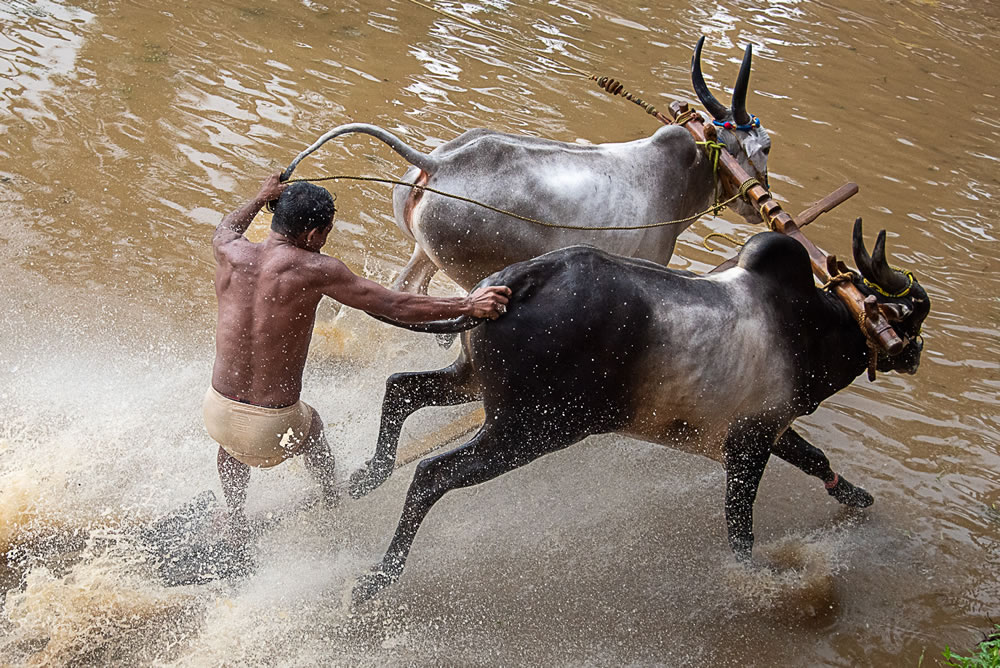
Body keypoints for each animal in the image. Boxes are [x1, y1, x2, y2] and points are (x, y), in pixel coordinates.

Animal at [284, 37, 772, 290]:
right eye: (765, 147)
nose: (759, 203)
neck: (686, 170)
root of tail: (439, 163)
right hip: (471, 272)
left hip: (426, 253)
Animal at [350, 222, 928, 604]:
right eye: (913, 318)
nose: (915, 355)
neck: (815, 327)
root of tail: (515, 282)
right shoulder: (749, 446)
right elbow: (741, 529)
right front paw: (763, 580)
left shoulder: (770, 429)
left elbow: (816, 460)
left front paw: (855, 496)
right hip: (530, 429)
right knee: (432, 474)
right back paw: (377, 579)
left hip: (476, 385)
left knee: (402, 389)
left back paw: (368, 475)